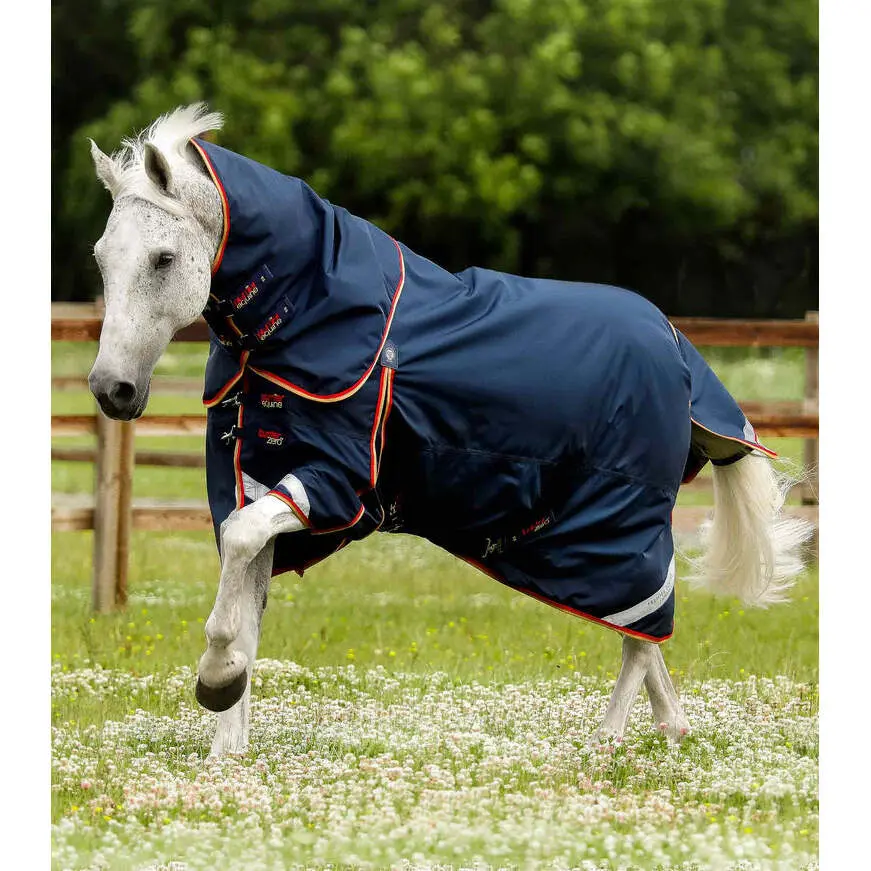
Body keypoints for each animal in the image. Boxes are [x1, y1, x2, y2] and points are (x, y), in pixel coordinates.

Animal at [87, 104, 812, 757]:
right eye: (101, 258)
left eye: (162, 257)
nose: (110, 389)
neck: (307, 316)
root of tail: (676, 347)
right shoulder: (261, 478)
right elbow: (244, 595)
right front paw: (226, 743)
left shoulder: (334, 483)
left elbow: (240, 555)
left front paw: (215, 682)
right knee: (646, 632)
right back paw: (669, 729)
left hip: (619, 525)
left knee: (642, 633)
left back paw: (603, 740)